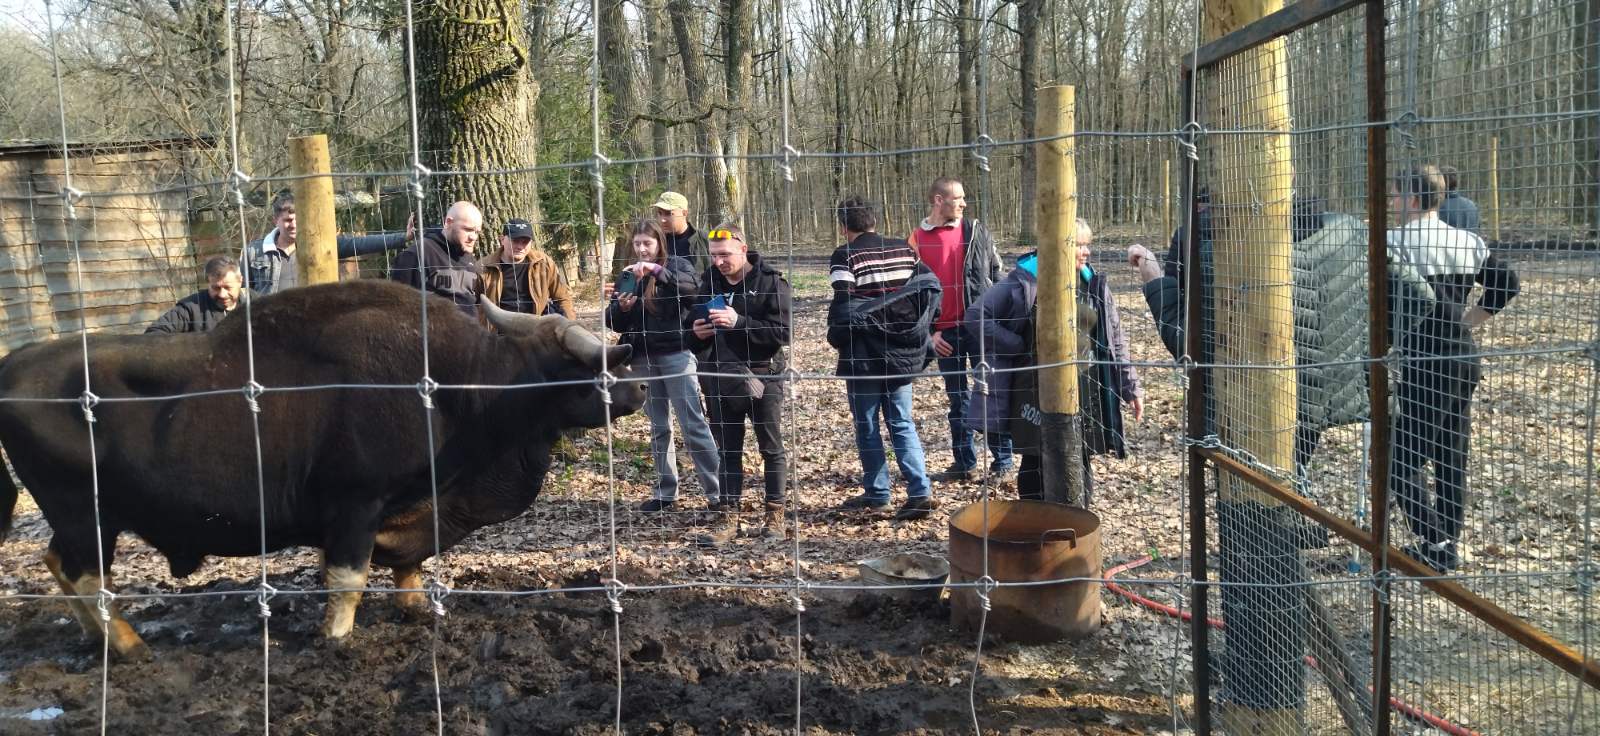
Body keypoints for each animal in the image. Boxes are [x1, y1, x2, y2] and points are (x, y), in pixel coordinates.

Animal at [0, 279, 646, 659]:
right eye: (581, 365)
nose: (640, 384)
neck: (458, 385)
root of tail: (13, 366)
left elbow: (407, 564)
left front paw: (415, 610)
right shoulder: (355, 506)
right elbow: (347, 578)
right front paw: (336, 639)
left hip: (78, 520)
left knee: (58, 565)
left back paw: (95, 636)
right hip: (86, 515)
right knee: (87, 574)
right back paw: (129, 646)